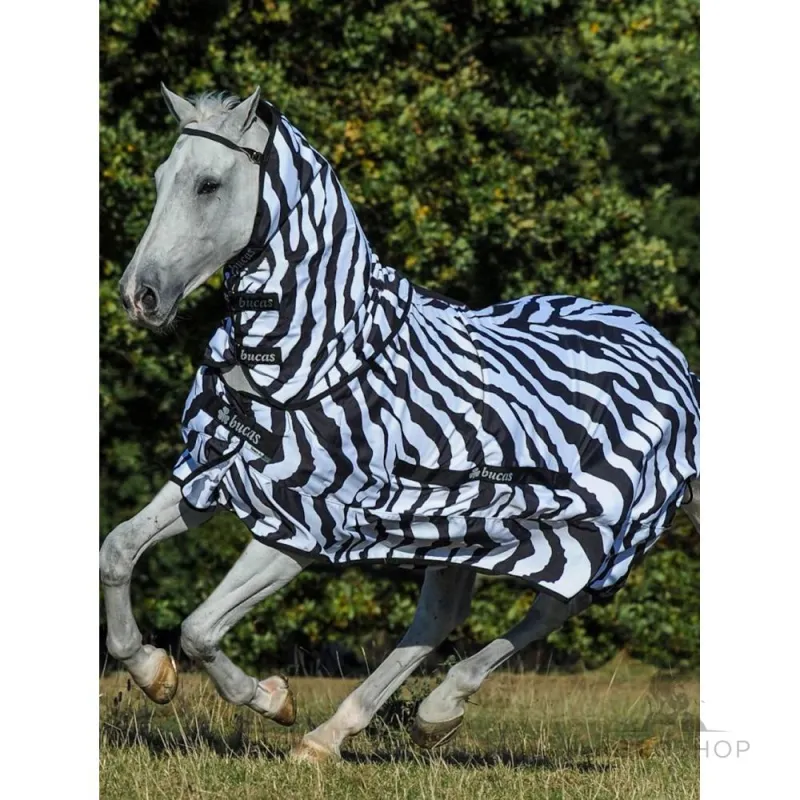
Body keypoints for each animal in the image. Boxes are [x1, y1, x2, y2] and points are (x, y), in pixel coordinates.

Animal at [101, 85, 700, 762]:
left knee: (550, 608)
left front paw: (272, 699)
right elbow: (116, 551)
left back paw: (431, 711)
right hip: (462, 530)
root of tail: (664, 350)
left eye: (208, 184)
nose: (139, 297)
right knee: (439, 619)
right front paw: (151, 672)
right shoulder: (214, 468)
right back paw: (337, 735)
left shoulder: (305, 521)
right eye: (160, 178)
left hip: (590, 530)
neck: (311, 352)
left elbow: (200, 629)